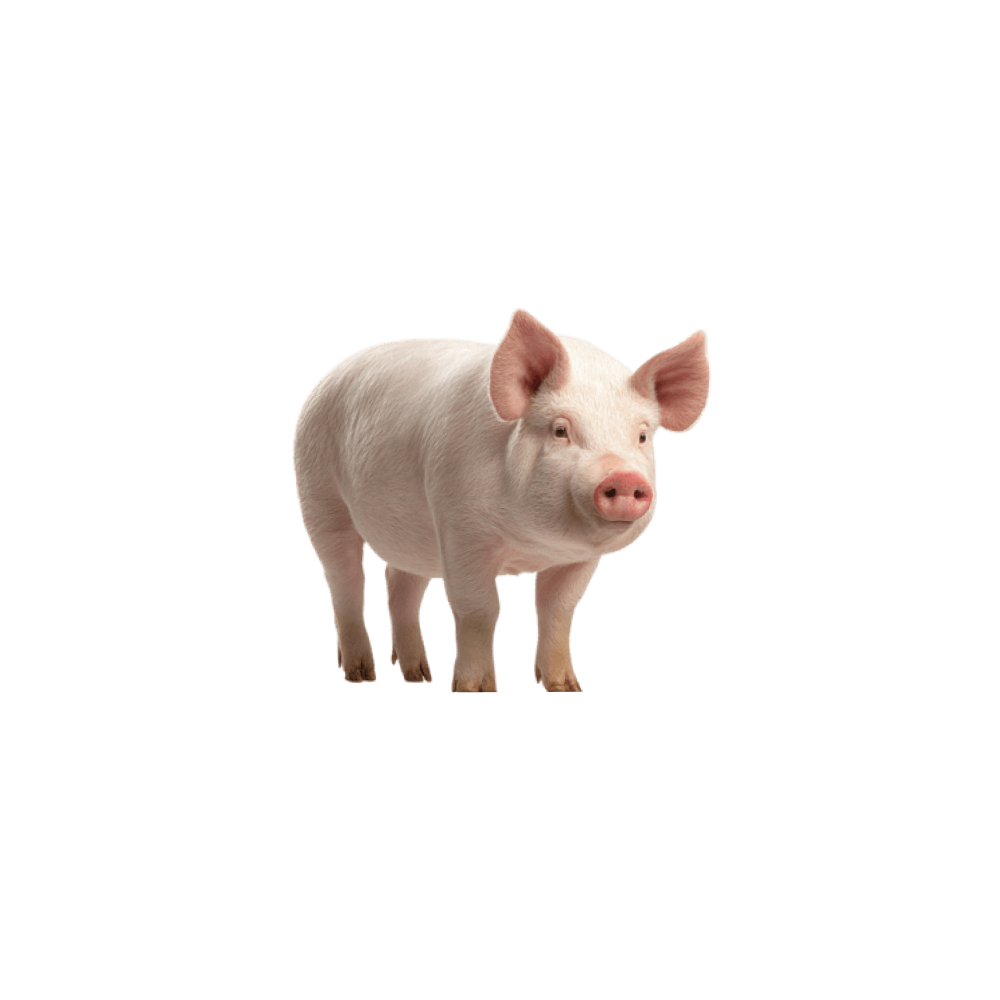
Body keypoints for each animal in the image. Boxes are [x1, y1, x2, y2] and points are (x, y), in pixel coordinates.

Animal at [294, 309, 708, 692]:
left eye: (641, 436)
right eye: (560, 430)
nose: (623, 477)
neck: (533, 548)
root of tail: (324, 381)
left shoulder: (580, 559)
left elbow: (558, 608)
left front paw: (566, 687)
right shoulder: (460, 530)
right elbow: (479, 609)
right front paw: (475, 689)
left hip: (414, 535)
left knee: (399, 582)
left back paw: (419, 676)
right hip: (317, 493)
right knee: (345, 579)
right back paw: (361, 674)